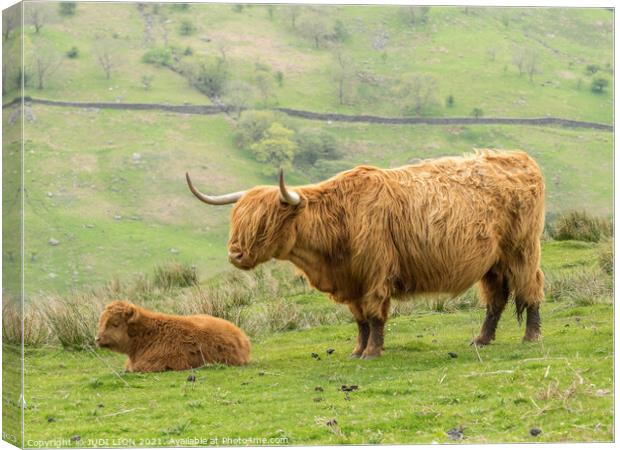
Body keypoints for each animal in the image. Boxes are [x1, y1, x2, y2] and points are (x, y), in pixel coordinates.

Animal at [186, 150, 544, 358]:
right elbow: (359, 319)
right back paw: (482, 339)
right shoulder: (351, 281)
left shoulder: (374, 275)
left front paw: (372, 351)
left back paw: (531, 336)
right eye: (236, 219)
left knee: (531, 289)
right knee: (496, 299)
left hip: (522, 251)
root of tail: (521, 158)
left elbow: (374, 315)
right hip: (492, 262)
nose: (235, 254)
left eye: (265, 222)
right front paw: (357, 349)